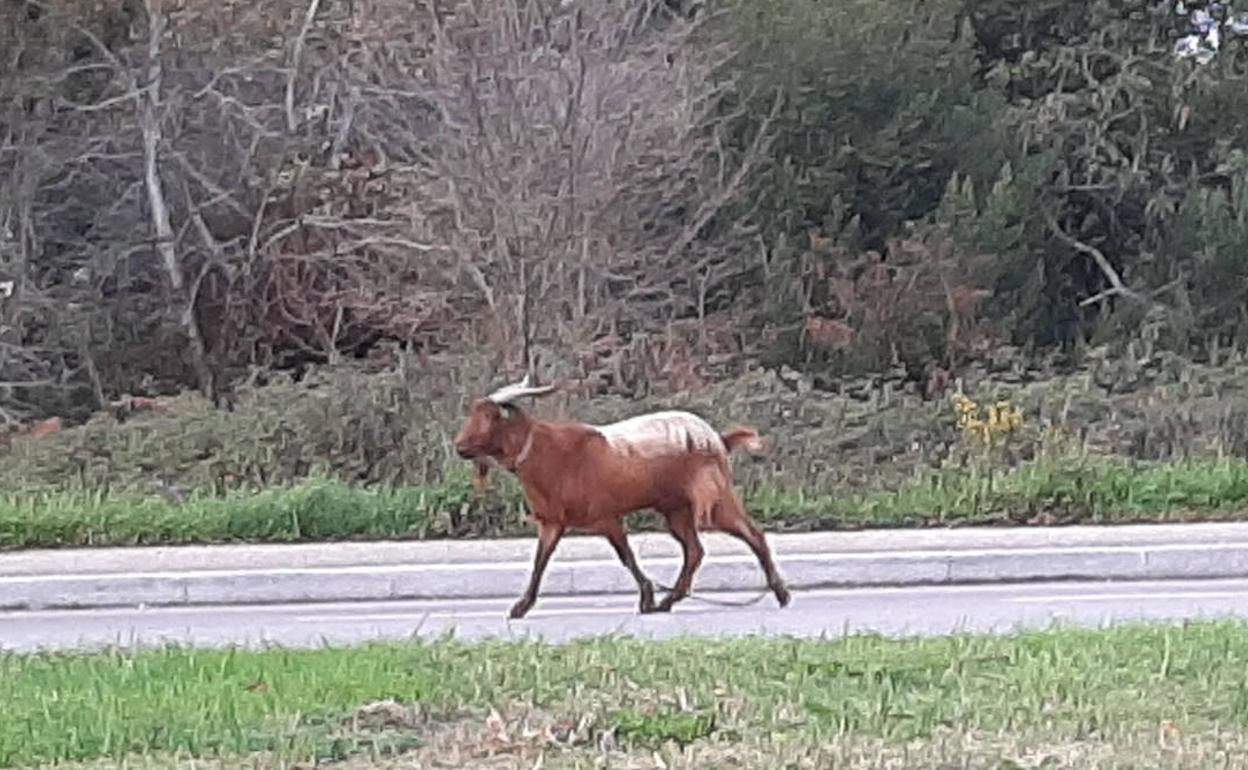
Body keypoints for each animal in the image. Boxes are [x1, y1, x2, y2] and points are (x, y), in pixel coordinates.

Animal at [451, 374, 788, 621]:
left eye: (490, 416)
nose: (460, 447)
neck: (542, 451)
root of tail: (716, 439)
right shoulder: (552, 523)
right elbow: (540, 562)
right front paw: (521, 607)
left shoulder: (606, 517)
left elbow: (626, 556)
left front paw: (647, 597)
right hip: (676, 509)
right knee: (695, 550)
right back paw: (670, 600)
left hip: (715, 500)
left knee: (752, 535)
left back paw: (781, 593)